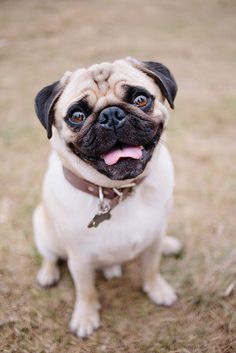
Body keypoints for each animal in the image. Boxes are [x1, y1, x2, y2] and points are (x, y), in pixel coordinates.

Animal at [32, 56, 181, 336]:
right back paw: (47, 274)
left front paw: (158, 289)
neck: (119, 191)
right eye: (77, 116)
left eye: (141, 100)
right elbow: (86, 290)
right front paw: (85, 317)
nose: (111, 115)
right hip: (42, 228)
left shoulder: (153, 239)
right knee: (50, 256)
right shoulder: (79, 260)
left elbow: (152, 268)